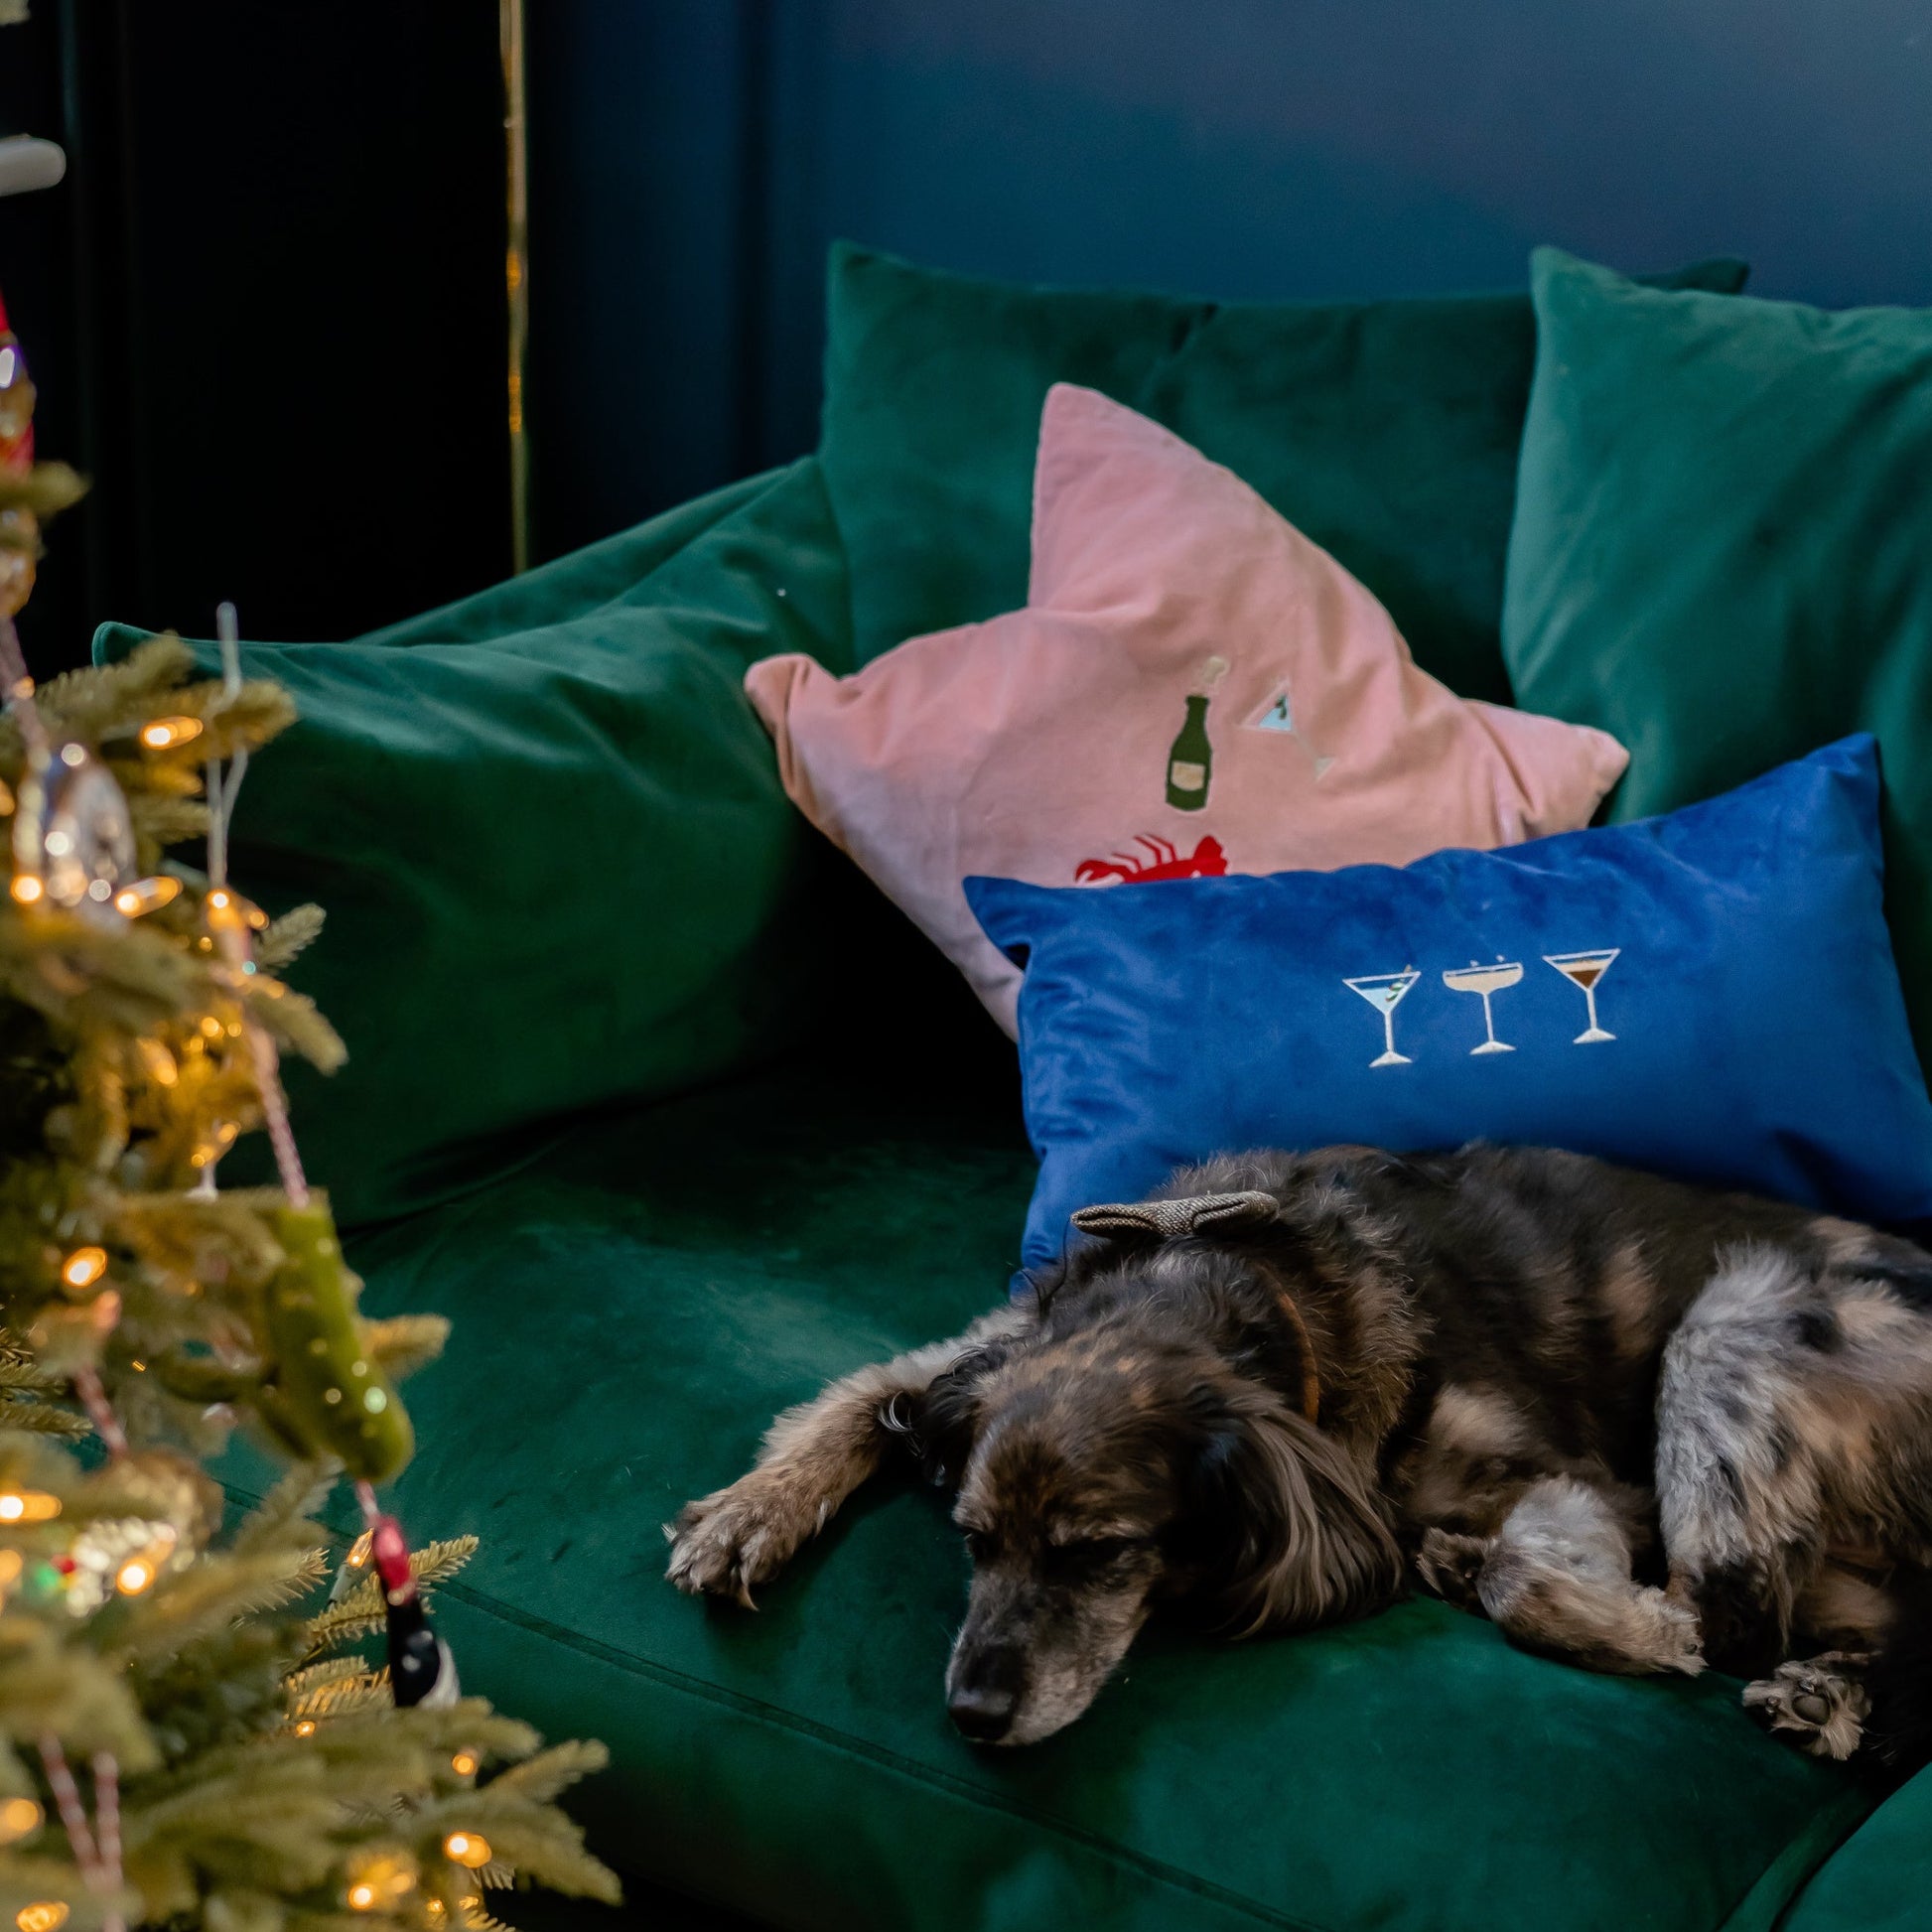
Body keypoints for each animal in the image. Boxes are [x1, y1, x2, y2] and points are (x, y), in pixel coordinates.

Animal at [664, 1144, 1932, 1769]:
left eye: (1102, 1552)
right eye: (970, 1539)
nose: (973, 1712)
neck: (1224, 1274)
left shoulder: (1591, 1482)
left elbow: (1542, 1576)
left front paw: (1623, 1621)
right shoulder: (975, 1352)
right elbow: (852, 1395)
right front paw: (745, 1513)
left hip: (1732, 1310)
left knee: (1741, 1607)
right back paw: (1825, 1695)